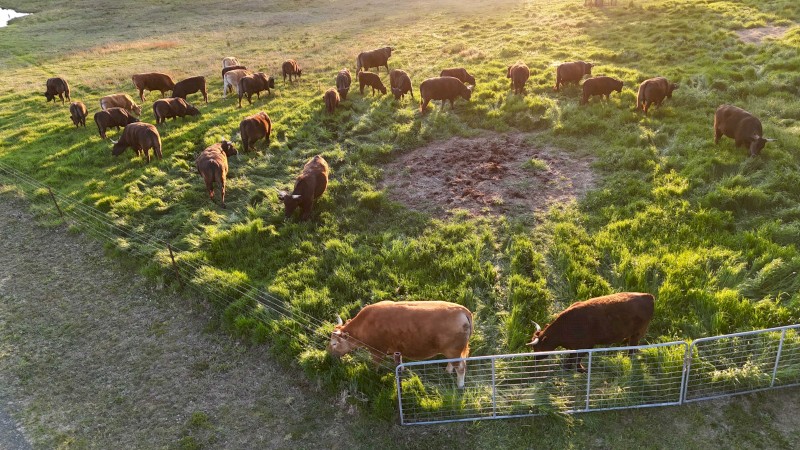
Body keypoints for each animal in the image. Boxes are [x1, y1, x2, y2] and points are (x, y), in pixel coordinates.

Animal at [328, 300, 473, 388]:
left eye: (334, 343)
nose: (328, 354)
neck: (365, 324)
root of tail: (461, 309)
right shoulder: (396, 347)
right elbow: (398, 359)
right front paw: (401, 369)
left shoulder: (377, 350)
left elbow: (375, 365)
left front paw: (372, 374)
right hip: (453, 351)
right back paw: (448, 371)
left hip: (453, 350)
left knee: (461, 367)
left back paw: (460, 385)